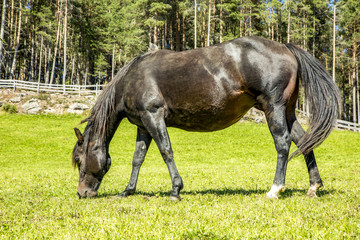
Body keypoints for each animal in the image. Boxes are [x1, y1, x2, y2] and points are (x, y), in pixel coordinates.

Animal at [71, 36, 338, 201]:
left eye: (80, 161)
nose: (82, 193)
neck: (132, 79)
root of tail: (285, 47)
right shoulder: (143, 126)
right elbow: (138, 159)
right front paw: (128, 191)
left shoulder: (153, 117)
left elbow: (166, 151)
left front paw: (176, 190)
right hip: (289, 111)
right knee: (303, 141)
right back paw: (314, 186)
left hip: (274, 107)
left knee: (283, 143)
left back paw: (275, 189)